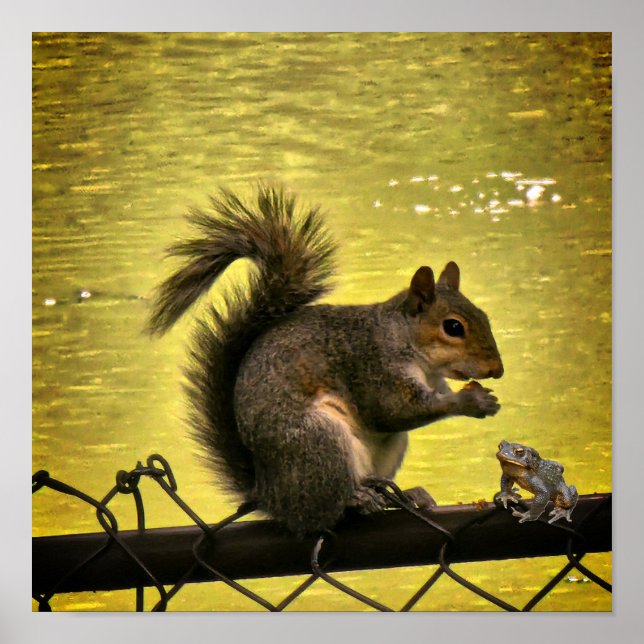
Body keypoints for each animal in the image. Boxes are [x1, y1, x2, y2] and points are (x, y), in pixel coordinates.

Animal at [148, 185, 504, 536]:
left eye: (485, 315)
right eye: (453, 327)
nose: (497, 370)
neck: (408, 344)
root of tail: (270, 496)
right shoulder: (373, 366)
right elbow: (394, 410)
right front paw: (472, 401)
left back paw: (400, 493)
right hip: (318, 441)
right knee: (322, 513)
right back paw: (357, 499)